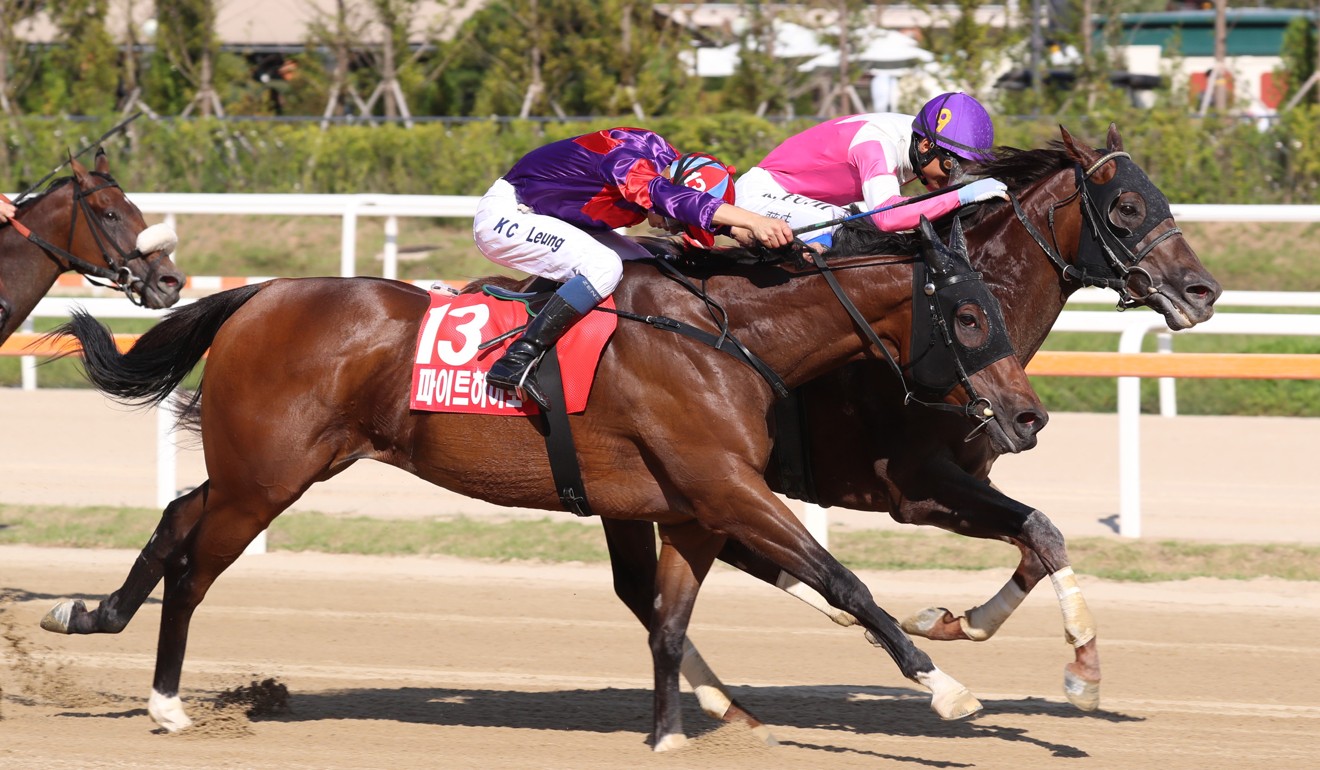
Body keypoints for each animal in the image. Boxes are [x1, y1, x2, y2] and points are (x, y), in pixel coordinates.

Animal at [48, 215, 1040, 744]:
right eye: (966, 314)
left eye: (997, 308)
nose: (1028, 416)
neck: (723, 337)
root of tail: (258, 294)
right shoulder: (728, 489)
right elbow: (845, 582)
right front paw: (944, 685)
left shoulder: (691, 508)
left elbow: (669, 619)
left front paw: (669, 732)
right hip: (266, 477)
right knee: (192, 567)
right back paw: (167, 703)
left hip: (278, 466)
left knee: (175, 517)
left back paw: (88, 612)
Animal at [607, 122, 1224, 729]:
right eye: (1126, 206)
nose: (1204, 292)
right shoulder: (915, 486)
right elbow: (1040, 532)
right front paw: (1082, 666)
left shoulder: (972, 474)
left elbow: (1038, 537)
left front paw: (953, 622)